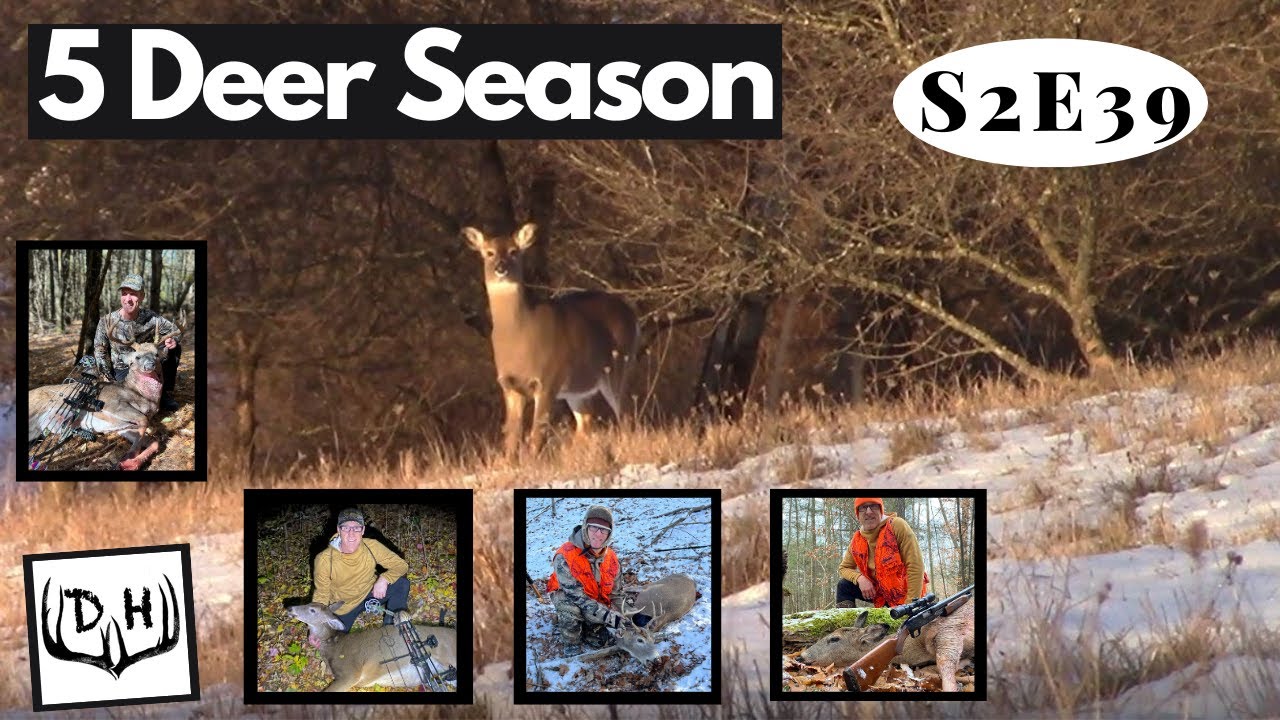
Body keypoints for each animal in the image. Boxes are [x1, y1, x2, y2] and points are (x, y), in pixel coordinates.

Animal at [28, 311, 186, 470]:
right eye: (137, 356)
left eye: (156, 355)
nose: (149, 365)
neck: (142, 396)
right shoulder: (112, 404)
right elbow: (143, 420)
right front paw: (128, 456)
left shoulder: (123, 427)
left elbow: (154, 442)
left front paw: (129, 463)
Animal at [463, 223, 639, 458]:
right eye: (488, 253)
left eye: (514, 251)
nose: (501, 268)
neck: (519, 336)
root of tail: (632, 314)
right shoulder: (509, 386)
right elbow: (511, 438)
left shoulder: (548, 380)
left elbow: (536, 435)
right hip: (577, 388)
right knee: (586, 421)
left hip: (617, 367)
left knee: (626, 414)